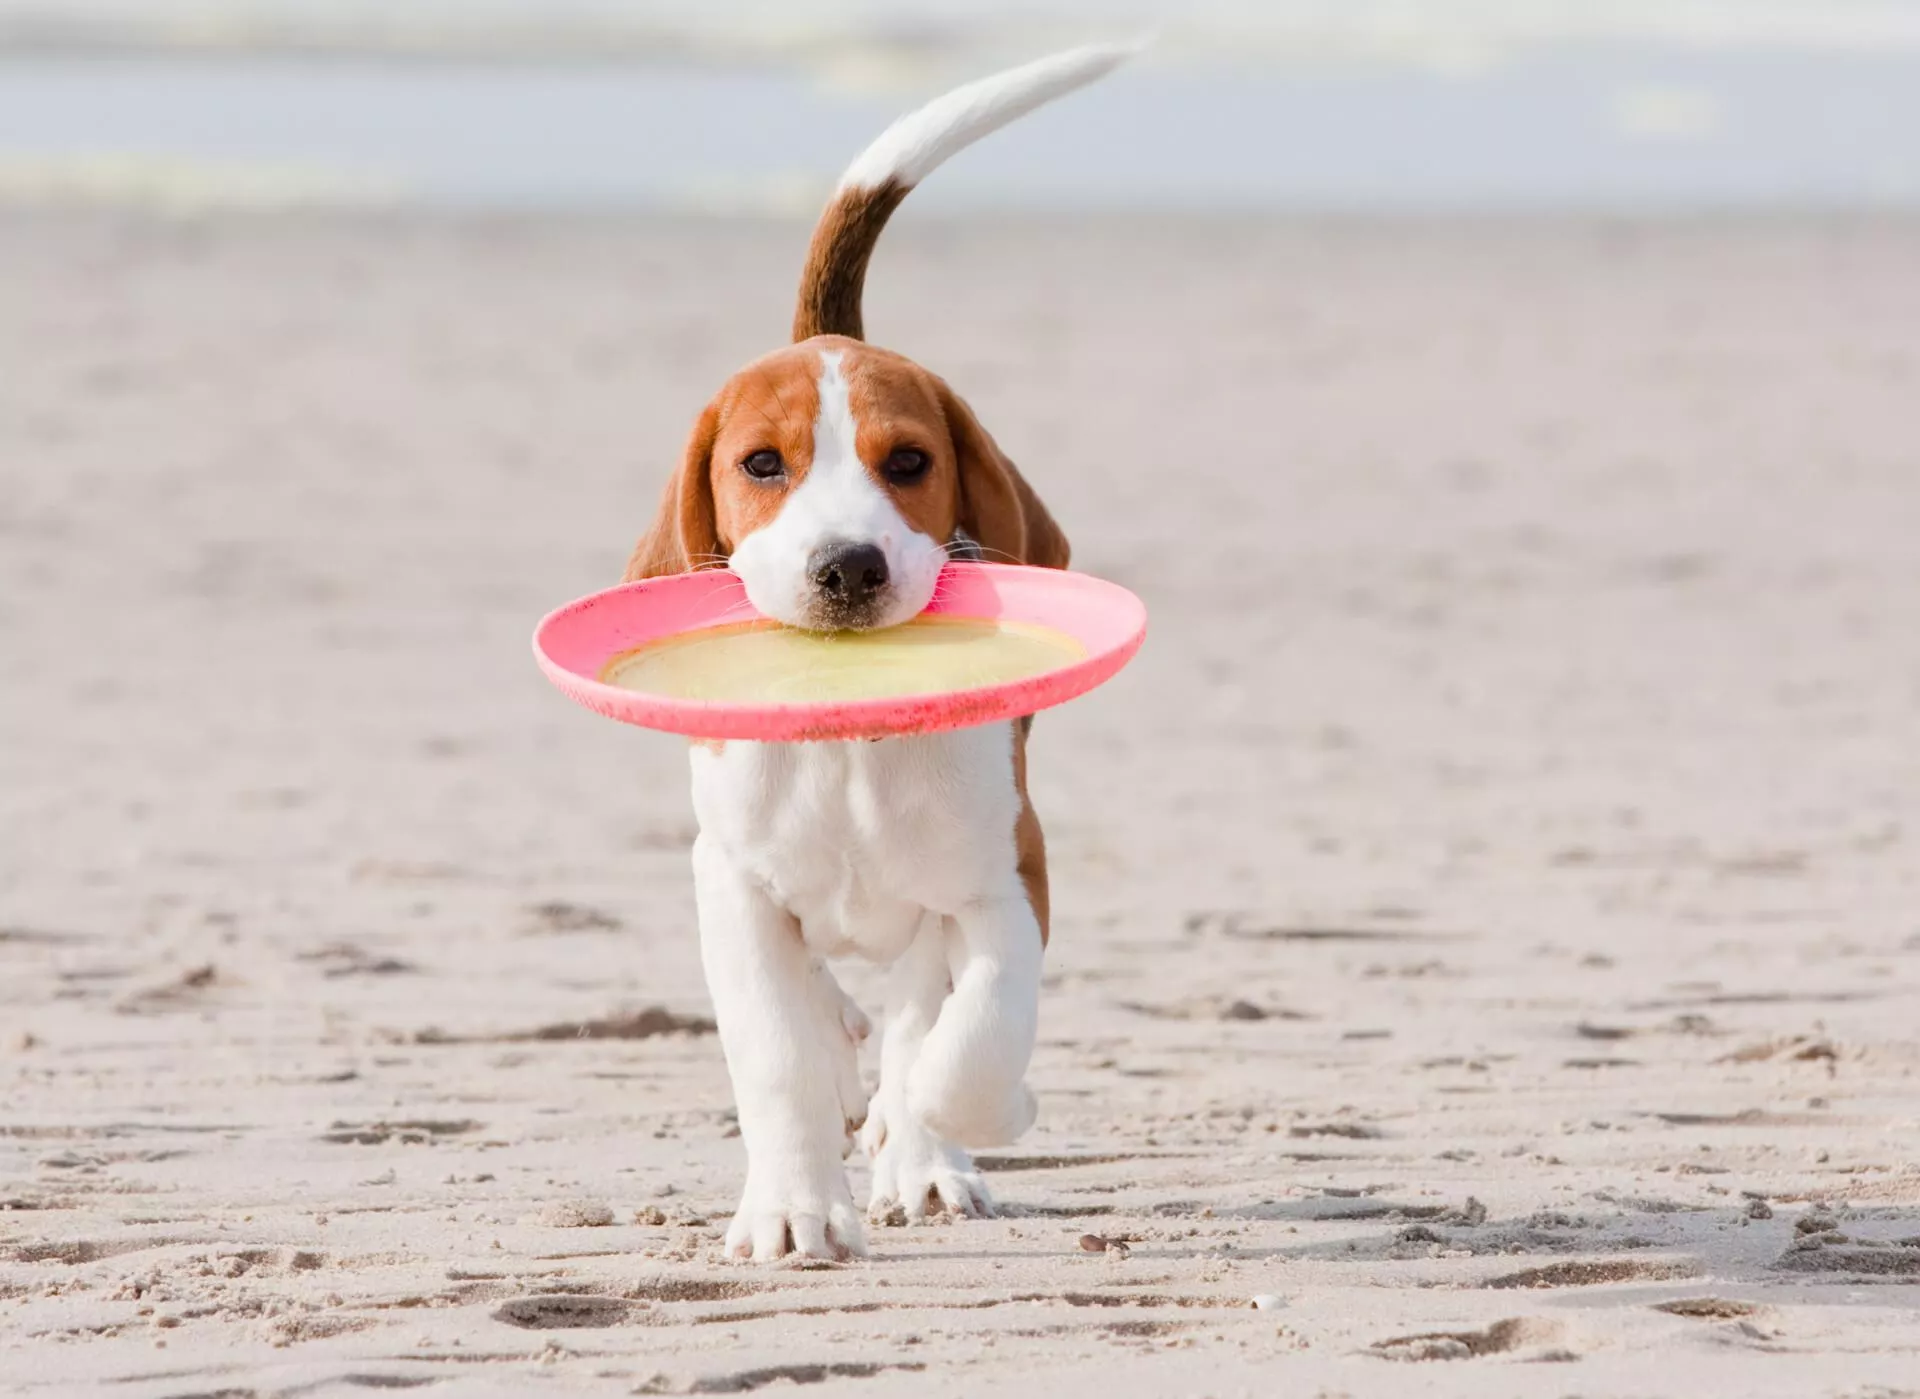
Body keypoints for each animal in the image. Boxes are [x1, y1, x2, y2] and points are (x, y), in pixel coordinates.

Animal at [625, 46, 1136, 1266]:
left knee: (918, 1011)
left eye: (908, 461)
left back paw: (924, 1151)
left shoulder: (1010, 876)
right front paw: (793, 1205)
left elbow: (976, 1033)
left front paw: (944, 1123)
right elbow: (775, 1055)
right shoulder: (731, 885)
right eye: (761, 464)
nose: (848, 566)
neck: (851, 738)